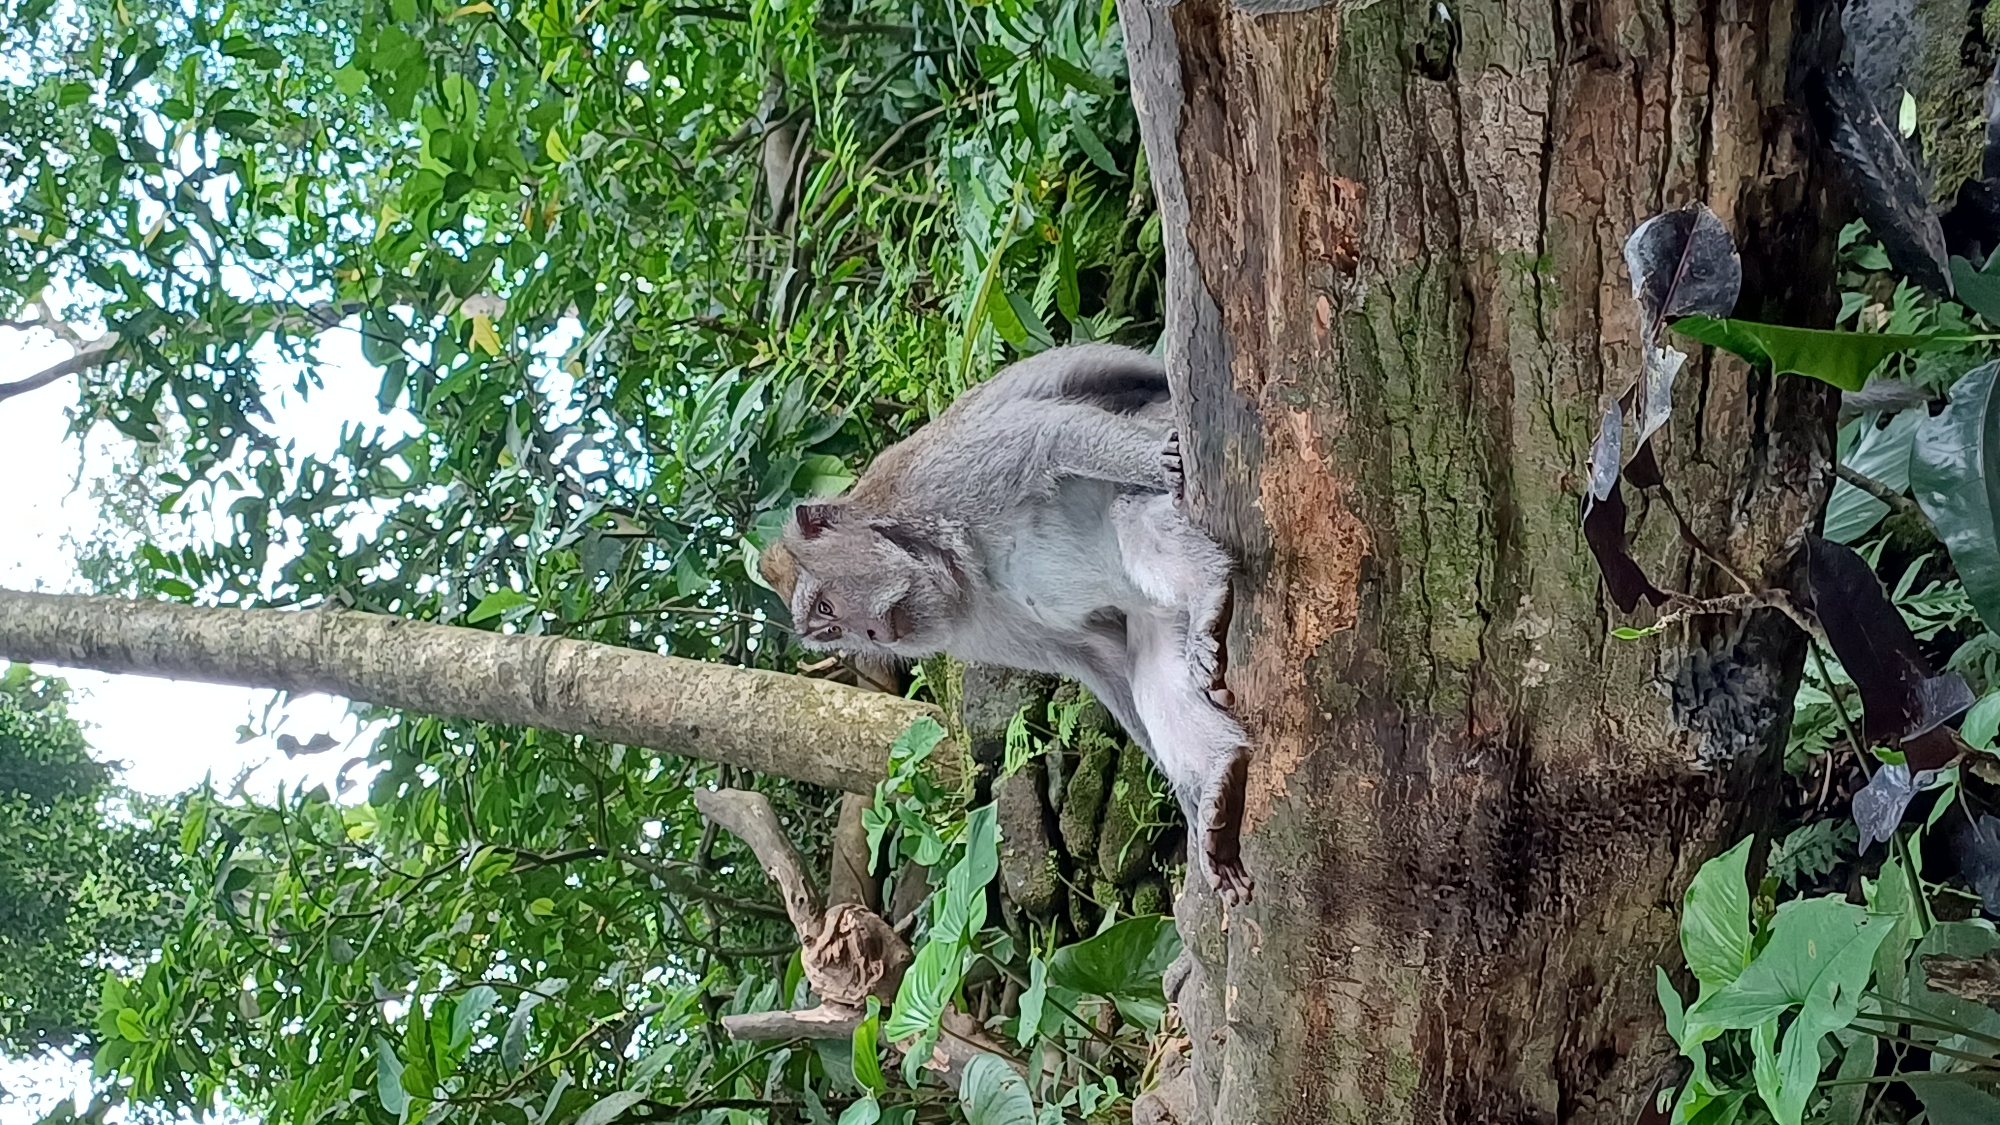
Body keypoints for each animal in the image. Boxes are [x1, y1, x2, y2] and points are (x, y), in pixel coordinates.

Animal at [757, 343, 1253, 904]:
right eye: (829, 630)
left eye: (825, 608)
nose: (871, 635)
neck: (936, 554)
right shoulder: (981, 628)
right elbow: (1099, 662)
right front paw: (1192, 805)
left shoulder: (942, 482)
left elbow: (1048, 437)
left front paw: (1155, 462)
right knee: (1146, 664)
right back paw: (1219, 776)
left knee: (1128, 508)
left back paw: (1208, 588)